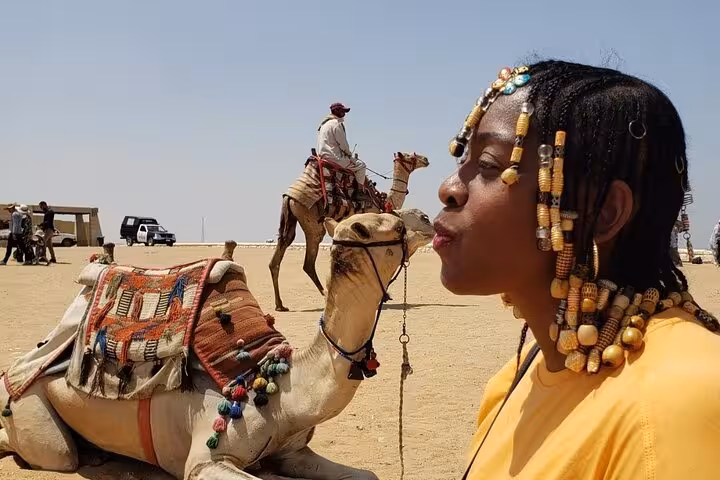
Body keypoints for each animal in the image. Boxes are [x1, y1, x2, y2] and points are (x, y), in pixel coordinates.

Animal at [0, 210, 434, 480]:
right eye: (389, 223)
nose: (428, 219)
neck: (281, 391)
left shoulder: (293, 451)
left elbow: (368, 474)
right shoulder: (206, 458)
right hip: (33, 405)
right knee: (54, 452)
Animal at [270, 152, 430, 312]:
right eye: (411, 156)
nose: (426, 159)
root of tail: (289, 196)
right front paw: (383, 294)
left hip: (292, 217)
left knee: (282, 248)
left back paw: (280, 305)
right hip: (313, 224)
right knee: (308, 262)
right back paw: (324, 294)